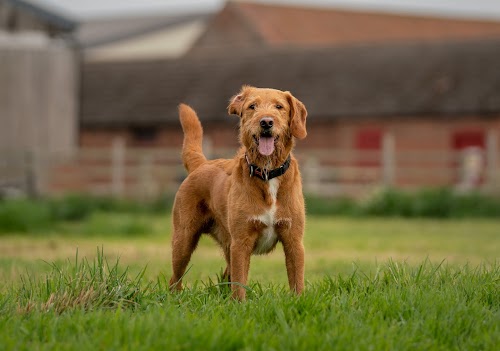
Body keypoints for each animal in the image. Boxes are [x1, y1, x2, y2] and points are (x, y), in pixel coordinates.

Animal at [170, 85, 306, 300]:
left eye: (279, 107)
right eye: (252, 106)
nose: (266, 122)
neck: (266, 173)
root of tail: (202, 164)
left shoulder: (294, 240)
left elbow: (297, 282)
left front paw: (298, 301)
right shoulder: (241, 243)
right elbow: (240, 283)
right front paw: (240, 304)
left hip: (225, 246)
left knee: (225, 276)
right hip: (183, 241)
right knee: (175, 279)